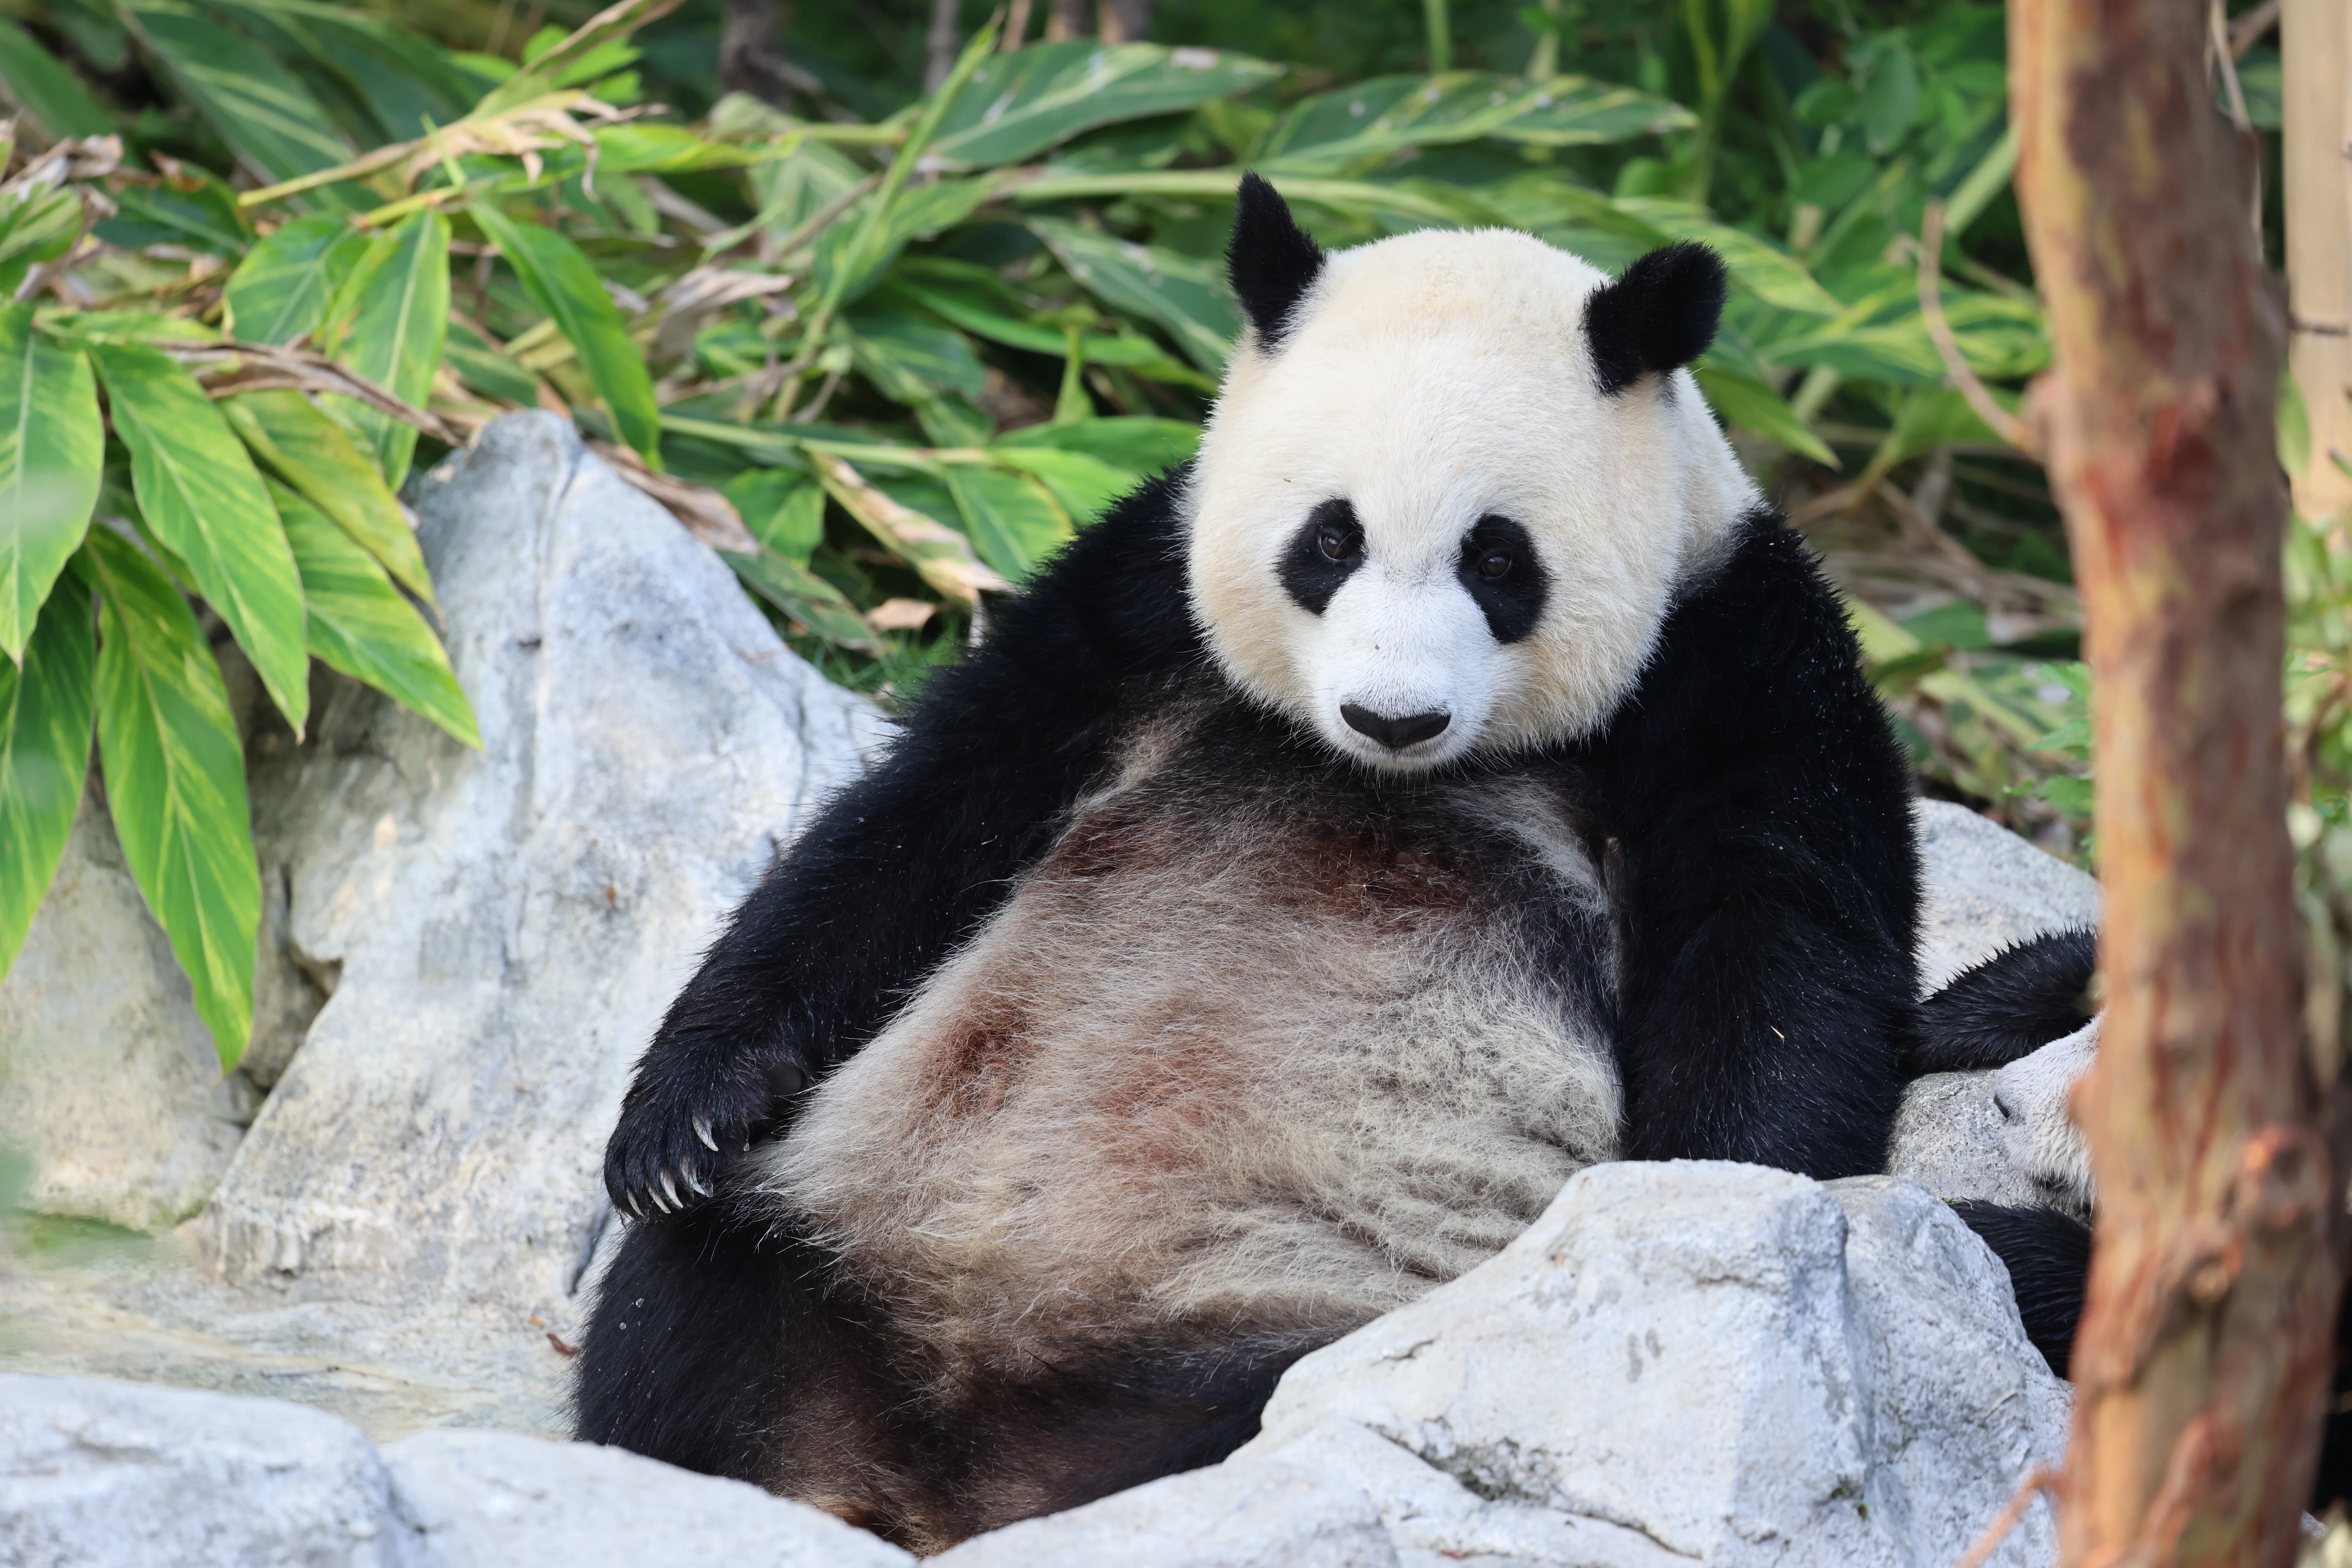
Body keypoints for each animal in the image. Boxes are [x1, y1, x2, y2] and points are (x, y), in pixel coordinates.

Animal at [574, 175, 2058, 1551]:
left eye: (1499, 559)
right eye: (1329, 540)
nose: (1392, 715)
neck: (1401, 774)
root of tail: (951, 1480)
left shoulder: (1739, 657)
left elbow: (1779, 968)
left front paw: (1702, 1226)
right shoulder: (1140, 596)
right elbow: (931, 810)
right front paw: (683, 1118)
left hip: (1309, 1324)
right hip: (834, 1234)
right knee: (685, 1317)